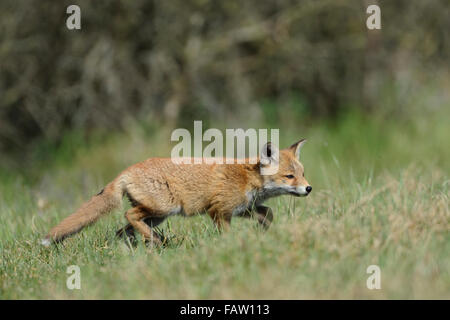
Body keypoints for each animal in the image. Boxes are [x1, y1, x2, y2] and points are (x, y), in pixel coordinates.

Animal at [40, 139, 312, 246]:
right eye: (290, 177)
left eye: (303, 173)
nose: (308, 188)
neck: (247, 178)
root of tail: (125, 172)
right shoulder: (219, 211)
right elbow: (227, 235)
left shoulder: (242, 208)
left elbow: (268, 214)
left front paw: (264, 234)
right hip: (163, 209)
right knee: (129, 216)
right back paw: (155, 242)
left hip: (157, 216)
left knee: (123, 229)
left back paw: (139, 248)